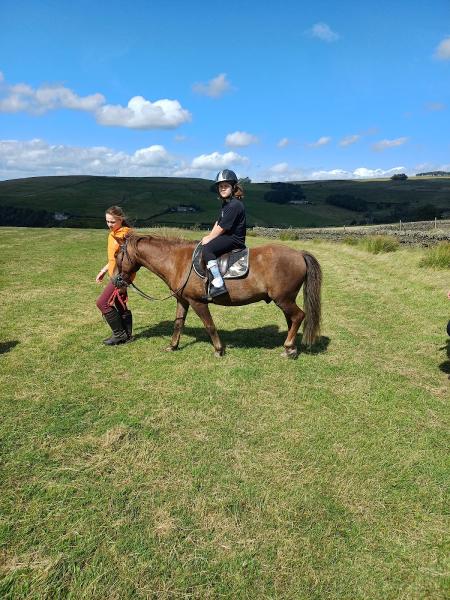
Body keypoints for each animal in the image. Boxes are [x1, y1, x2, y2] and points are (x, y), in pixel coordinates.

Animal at [114, 233, 322, 356]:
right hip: (286, 300)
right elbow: (178, 324)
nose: (116, 280)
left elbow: (210, 325)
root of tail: (299, 254)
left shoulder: (197, 302)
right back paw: (291, 347)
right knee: (292, 319)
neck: (178, 261)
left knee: (299, 316)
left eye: (117, 256)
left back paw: (288, 346)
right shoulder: (183, 300)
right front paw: (173, 346)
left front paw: (218, 349)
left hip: (284, 299)